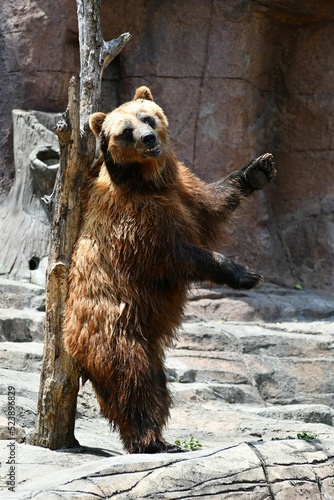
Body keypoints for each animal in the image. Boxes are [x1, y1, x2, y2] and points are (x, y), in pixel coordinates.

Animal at [63, 85, 276, 454]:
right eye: (126, 131)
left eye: (148, 117)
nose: (149, 139)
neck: (149, 180)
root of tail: (69, 339)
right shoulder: (137, 223)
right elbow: (174, 255)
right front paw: (246, 273)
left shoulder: (184, 190)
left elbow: (212, 204)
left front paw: (258, 169)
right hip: (114, 326)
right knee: (132, 378)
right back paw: (149, 439)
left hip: (145, 337)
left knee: (155, 382)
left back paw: (161, 438)